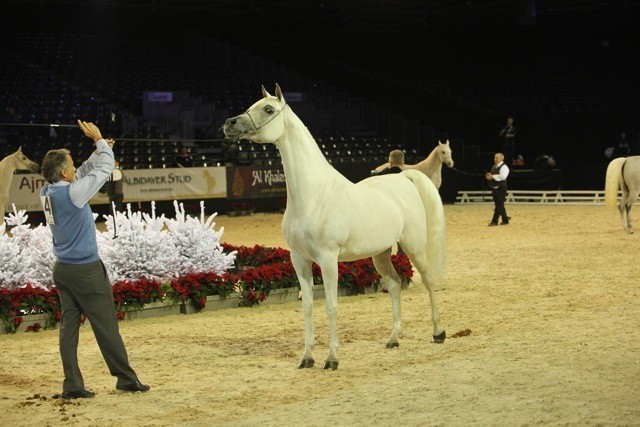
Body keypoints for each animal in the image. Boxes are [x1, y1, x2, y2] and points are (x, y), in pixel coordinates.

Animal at [223, 84, 447, 370]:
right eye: (251, 105)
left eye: (269, 109)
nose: (230, 124)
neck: (313, 195)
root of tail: (404, 177)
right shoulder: (299, 260)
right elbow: (308, 306)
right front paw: (307, 357)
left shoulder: (328, 260)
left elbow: (331, 307)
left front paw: (332, 358)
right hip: (380, 254)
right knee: (395, 284)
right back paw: (393, 339)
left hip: (414, 246)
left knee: (428, 281)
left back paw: (438, 332)